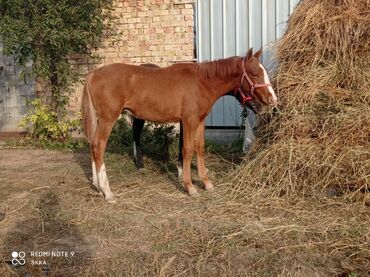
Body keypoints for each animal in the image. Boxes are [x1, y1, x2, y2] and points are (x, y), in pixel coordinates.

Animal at [81, 48, 278, 202]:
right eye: (254, 74)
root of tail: (93, 74)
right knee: (99, 146)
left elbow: (200, 148)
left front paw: (206, 183)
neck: (201, 82)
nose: (273, 99)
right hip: (108, 119)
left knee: (92, 145)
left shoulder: (199, 121)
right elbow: (187, 149)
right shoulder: (189, 121)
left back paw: (97, 187)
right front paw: (190, 187)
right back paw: (108, 192)